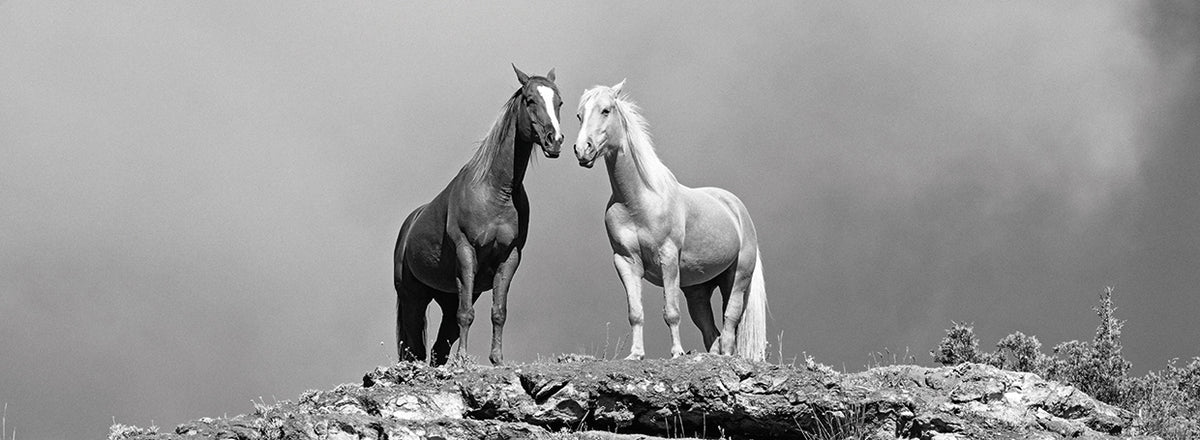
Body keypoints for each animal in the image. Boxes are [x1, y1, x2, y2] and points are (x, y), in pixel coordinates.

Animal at [393, 65, 564, 366]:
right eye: (530, 100)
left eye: (560, 102)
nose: (554, 141)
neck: (496, 191)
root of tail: (408, 226)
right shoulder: (466, 251)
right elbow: (467, 315)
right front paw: (463, 360)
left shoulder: (510, 257)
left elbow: (499, 311)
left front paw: (497, 359)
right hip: (413, 296)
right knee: (414, 346)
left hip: (449, 294)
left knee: (438, 346)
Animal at [572, 80, 768, 361]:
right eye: (579, 115)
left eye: (606, 110)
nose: (582, 150)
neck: (638, 200)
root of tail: (738, 210)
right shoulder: (625, 261)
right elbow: (635, 313)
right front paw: (635, 355)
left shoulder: (667, 257)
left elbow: (671, 312)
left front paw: (676, 353)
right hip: (698, 290)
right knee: (711, 332)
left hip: (737, 278)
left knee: (730, 324)